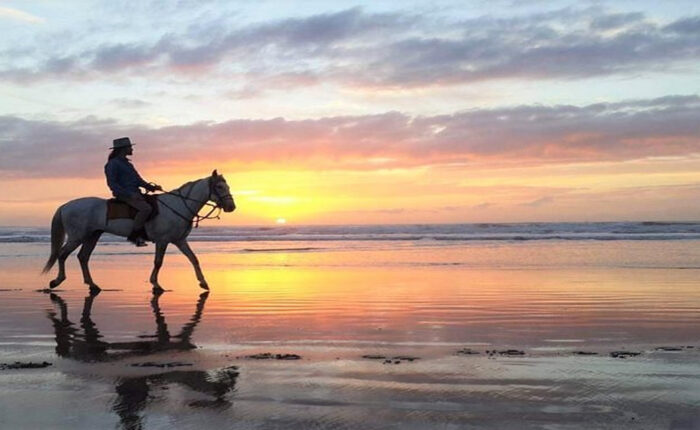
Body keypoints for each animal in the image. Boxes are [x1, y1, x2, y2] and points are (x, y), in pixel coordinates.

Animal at [42, 170, 237, 294]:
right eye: (220, 187)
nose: (231, 207)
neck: (179, 205)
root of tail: (66, 206)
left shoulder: (180, 240)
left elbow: (193, 259)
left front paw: (203, 283)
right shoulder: (163, 241)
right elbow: (158, 262)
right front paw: (156, 284)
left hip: (92, 236)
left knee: (83, 257)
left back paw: (93, 285)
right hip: (77, 236)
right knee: (62, 254)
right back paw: (57, 281)